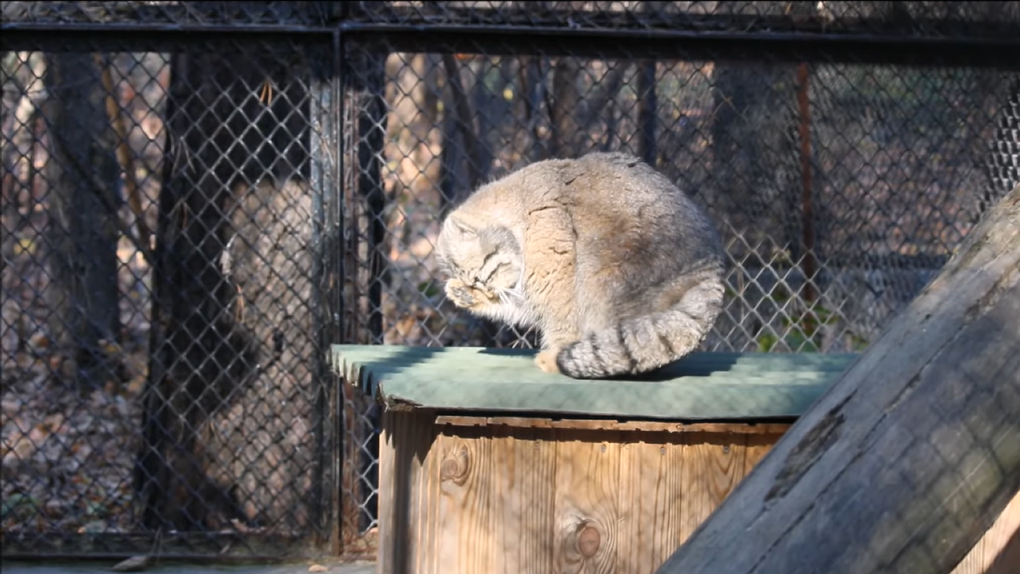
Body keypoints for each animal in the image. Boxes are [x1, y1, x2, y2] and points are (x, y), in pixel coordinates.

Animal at [434, 150, 730, 379]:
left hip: (600, 276)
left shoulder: (556, 270)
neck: (520, 204)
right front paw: (463, 294)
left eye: (487, 272)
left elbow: (560, 317)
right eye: (474, 283)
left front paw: (555, 353)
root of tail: (710, 266)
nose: (484, 290)